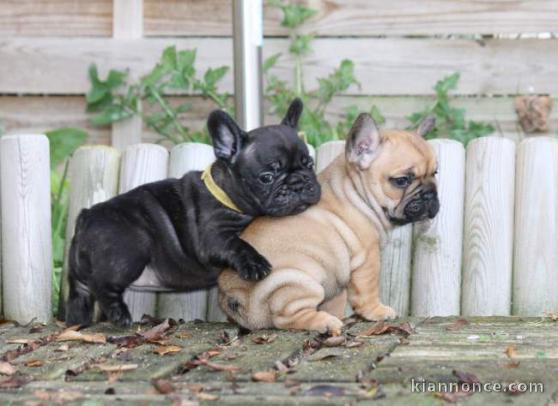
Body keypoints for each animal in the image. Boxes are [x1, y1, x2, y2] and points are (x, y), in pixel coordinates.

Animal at [64, 98, 322, 326]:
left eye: (309, 164)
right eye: (267, 177)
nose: (299, 183)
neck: (228, 195)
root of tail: (85, 216)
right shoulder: (213, 237)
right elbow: (237, 244)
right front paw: (255, 263)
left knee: (80, 292)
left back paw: (78, 320)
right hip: (129, 251)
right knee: (102, 285)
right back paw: (119, 315)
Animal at [219, 112, 442, 334]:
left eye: (435, 173)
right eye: (402, 180)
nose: (430, 194)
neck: (356, 194)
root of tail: (234, 296)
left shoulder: (337, 279)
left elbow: (336, 301)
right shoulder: (367, 259)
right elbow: (368, 290)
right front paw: (376, 311)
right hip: (300, 282)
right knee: (286, 318)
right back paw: (325, 323)